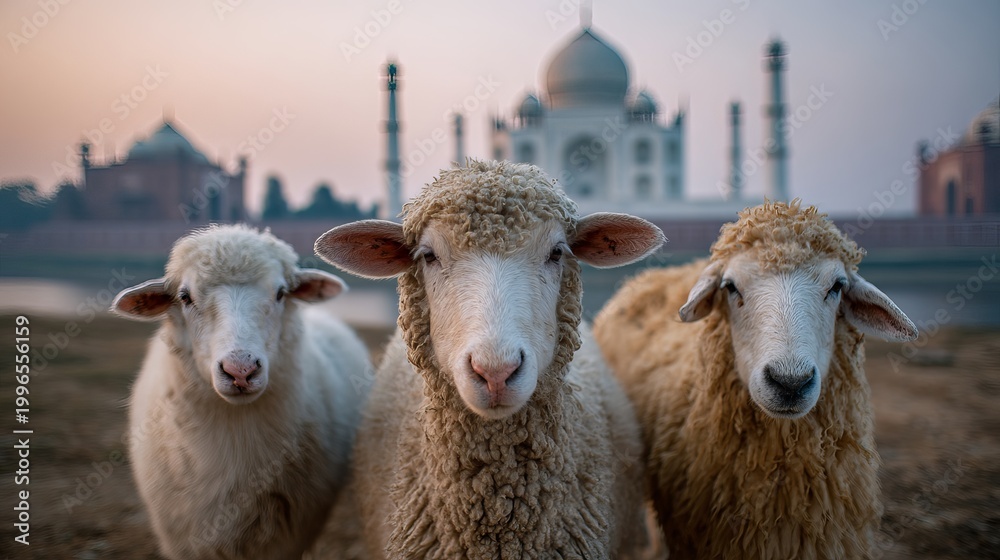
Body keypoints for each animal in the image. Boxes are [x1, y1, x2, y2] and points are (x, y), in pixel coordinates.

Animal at [111, 224, 371, 560]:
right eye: (185, 297)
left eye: (281, 293)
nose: (240, 370)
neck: (236, 437)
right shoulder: (185, 536)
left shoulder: (287, 536)